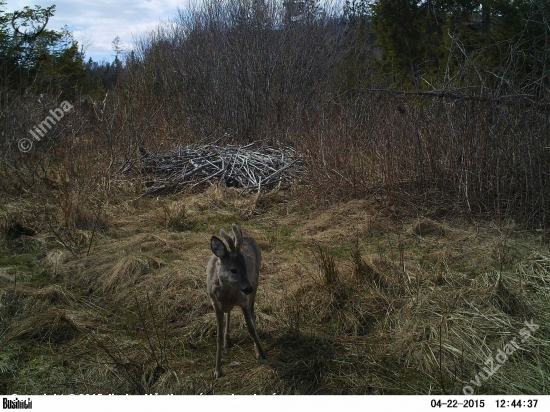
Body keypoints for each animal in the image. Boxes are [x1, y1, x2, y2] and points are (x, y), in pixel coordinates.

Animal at [207, 224, 268, 378]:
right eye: (233, 270)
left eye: (246, 267)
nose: (247, 288)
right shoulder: (214, 304)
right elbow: (218, 337)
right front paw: (217, 371)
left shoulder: (243, 302)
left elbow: (250, 329)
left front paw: (263, 355)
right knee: (229, 313)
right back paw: (227, 342)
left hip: (256, 280)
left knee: (253, 313)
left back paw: (256, 350)